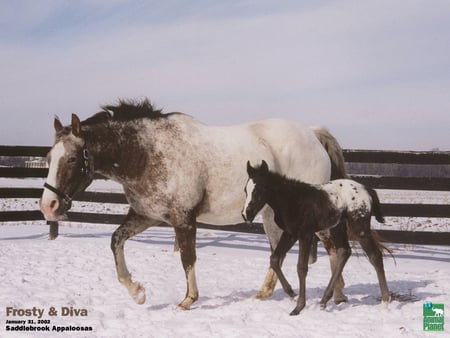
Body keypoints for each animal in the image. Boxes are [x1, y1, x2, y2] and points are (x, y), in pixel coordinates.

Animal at [40, 99, 346, 310]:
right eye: (48, 158)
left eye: (71, 159)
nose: (48, 206)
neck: (148, 154)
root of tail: (312, 134)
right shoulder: (147, 216)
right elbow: (116, 241)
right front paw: (137, 292)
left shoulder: (183, 219)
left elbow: (188, 258)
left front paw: (188, 300)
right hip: (272, 215)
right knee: (278, 252)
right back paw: (267, 294)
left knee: (333, 249)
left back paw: (337, 295)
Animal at [243, 160, 390, 314]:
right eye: (245, 190)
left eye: (259, 189)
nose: (246, 214)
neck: (291, 200)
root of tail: (367, 190)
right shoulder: (290, 234)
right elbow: (274, 259)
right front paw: (292, 294)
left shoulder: (305, 234)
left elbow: (301, 267)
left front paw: (299, 307)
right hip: (338, 227)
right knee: (344, 251)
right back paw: (324, 300)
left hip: (359, 228)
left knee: (375, 256)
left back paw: (385, 301)